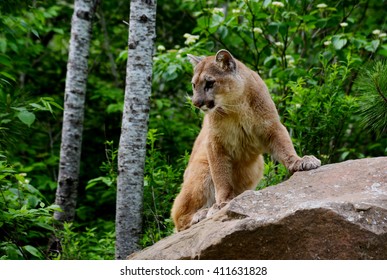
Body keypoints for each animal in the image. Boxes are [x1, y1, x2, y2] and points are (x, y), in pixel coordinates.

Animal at [172, 49, 322, 232]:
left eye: (209, 83)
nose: (196, 103)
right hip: (201, 169)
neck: (235, 105)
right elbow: (221, 176)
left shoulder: (271, 126)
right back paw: (200, 214)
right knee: (178, 218)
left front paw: (300, 161)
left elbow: (285, 147)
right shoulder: (215, 143)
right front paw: (222, 203)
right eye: (194, 85)